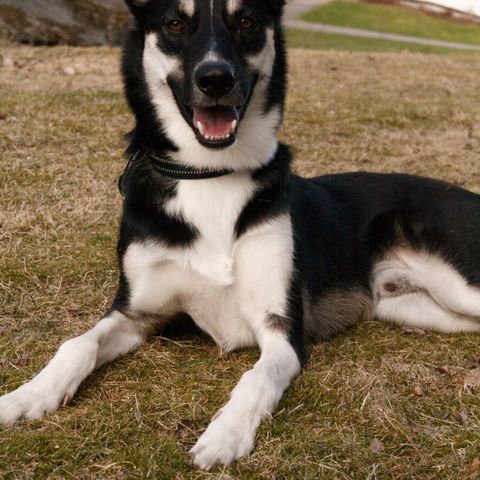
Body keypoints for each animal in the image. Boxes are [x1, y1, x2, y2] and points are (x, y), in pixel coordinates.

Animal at [0, 0, 480, 472]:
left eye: (246, 21)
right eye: (175, 23)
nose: (215, 78)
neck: (209, 173)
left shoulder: (280, 329)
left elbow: (255, 378)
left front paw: (225, 436)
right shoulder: (137, 313)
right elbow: (77, 343)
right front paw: (26, 396)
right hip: (416, 307)